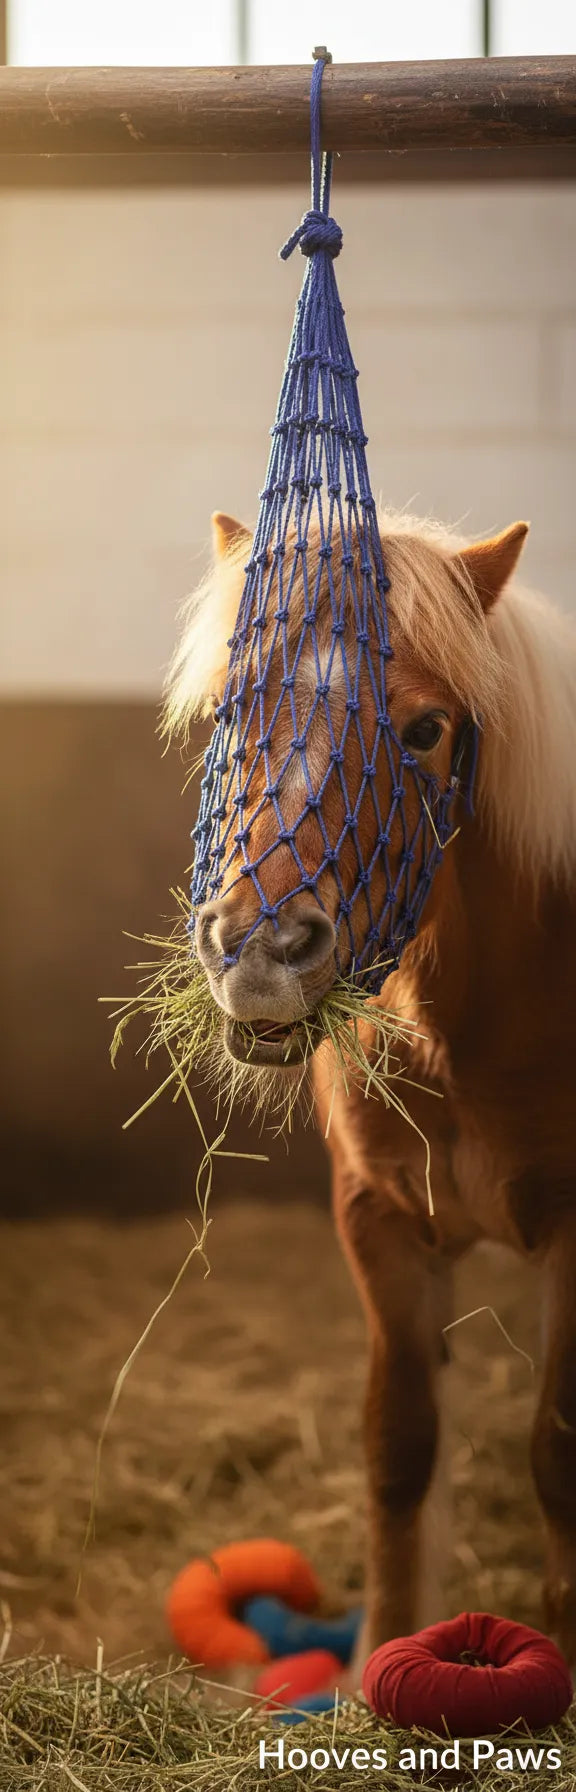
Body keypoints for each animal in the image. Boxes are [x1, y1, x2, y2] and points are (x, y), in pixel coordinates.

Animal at [167, 505, 576, 1673]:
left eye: (427, 730)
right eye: (230, 709)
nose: (260, 950)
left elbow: (555, 1455)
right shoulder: (383, 1221)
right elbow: (400, 1447)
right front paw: (381, 1660)